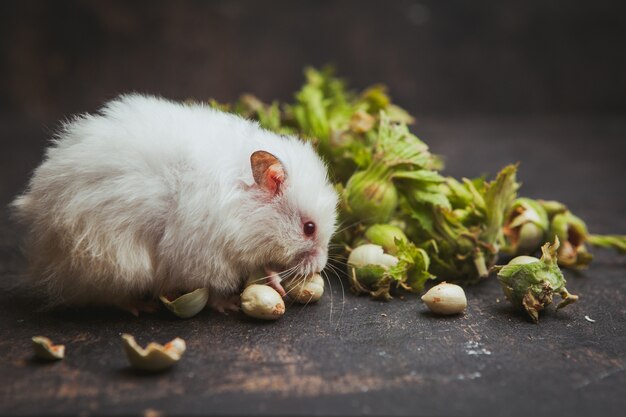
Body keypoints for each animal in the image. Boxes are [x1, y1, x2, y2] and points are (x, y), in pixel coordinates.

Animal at [12, 92, 338, 310]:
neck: (242, 211)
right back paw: (140, 307)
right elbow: (214, 289)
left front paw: (275, 283)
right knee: (110, 296)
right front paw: (230, 304)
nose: (321, 266)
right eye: (309, 228)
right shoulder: (206, 259)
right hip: (108, 258)